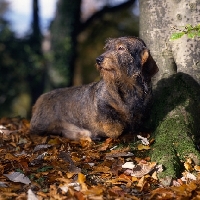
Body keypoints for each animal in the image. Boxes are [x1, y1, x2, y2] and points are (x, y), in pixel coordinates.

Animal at [29, 37, 159, 141]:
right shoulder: (102, 105)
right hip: (42, 125)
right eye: (107, 48)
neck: (129, 88)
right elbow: (114, 126)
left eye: (121, 48)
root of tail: (39, 100)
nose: (98, 59)